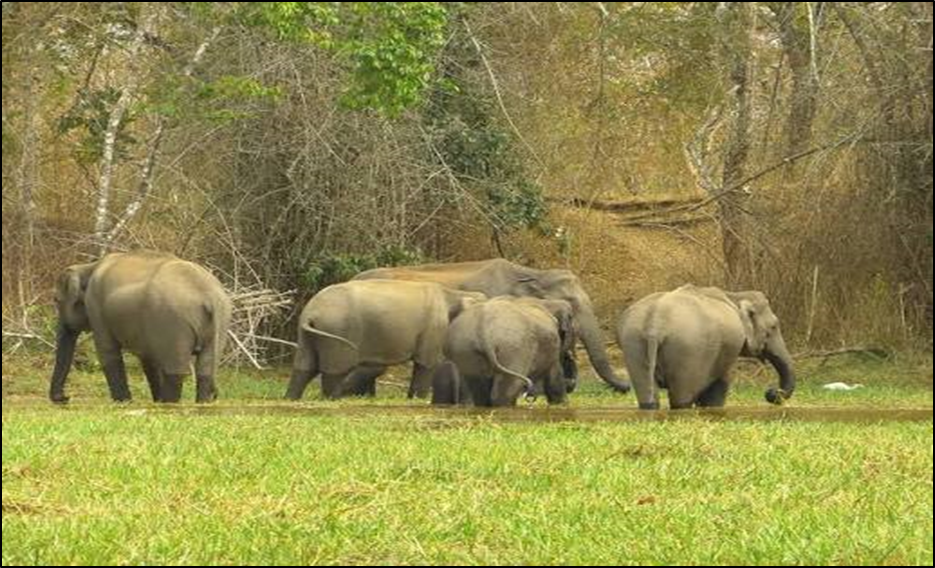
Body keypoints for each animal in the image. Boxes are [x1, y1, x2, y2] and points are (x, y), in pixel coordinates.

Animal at [49, 250, 232, 404]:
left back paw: (169, 404)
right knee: (206, 368)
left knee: (176, 370)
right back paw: (200, 404)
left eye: (56, 300)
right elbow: (149, 360)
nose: (65, 398)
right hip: (221, 320)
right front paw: (152, 399)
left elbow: (107, 352)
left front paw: (123, 402)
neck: (89, 266)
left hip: (174, 321)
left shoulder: (96, 306)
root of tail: (208, 296)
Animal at [285, 279, 485, 400]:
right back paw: (332, 399)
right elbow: (427, 362)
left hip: (308, 336)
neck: (454, 294)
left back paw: (291, 398)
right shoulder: (435, 328)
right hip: (337, 331)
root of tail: (310, 313)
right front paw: (417, 399)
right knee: (336, 369)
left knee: (304, 366)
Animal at [432, 296, 577, 407]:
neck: (546, 302)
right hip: (515, 348)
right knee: (508, 387)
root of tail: (483, 329)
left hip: (465, 349)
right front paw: (562, 404)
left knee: (478, 386)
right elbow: (554, 375)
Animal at [616, 284, 796, 410]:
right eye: (773, 327)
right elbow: (719, 387)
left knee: (647, 394)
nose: (770, 392)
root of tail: (655, 323)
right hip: (688, 350)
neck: (735, 295)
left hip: (634, 342)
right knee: (681, 398)